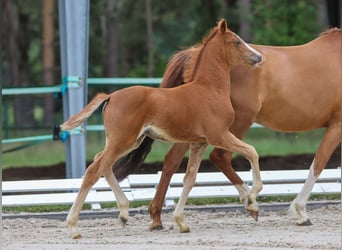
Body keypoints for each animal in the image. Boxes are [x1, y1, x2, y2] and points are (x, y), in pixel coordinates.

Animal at [61, 19, 264, 238]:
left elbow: (190, 179)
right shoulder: (219, 135)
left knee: (103, 164)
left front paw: (181, 222)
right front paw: (252, 198)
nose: (259, 57)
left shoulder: (199, 143)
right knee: (93, 170)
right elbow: (252, 152)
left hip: (129, 141)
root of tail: (111, 96)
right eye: (237, 42)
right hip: (123, 140)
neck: (209, 89)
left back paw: (123, 213)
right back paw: (74, 227)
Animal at [111, 26, 340, 229]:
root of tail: (194, 52)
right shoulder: (336, 126)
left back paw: (157, 217)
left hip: (193, 130)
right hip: (238, 121)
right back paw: (250, 201)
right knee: (220, 156)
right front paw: (301, 212)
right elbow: (318, 164)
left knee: (173, 160)